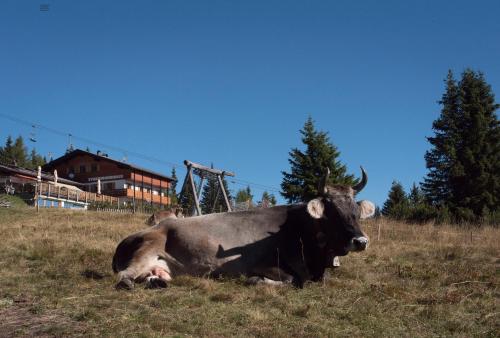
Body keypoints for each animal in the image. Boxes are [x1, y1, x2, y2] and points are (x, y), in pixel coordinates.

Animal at [111, 166, 374, 288]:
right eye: (333, 212)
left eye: (355, 211)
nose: (361, 241)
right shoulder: (262, 265)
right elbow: (291, 280)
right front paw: (257, 281)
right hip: (147, 249)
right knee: (125, 276)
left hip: (163, 268)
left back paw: (158, 283)